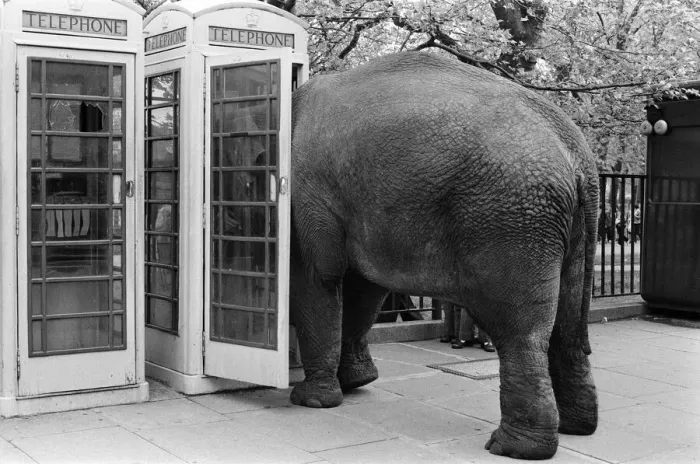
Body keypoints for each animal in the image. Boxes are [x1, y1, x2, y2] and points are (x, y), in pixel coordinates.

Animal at [287, 51, 599, 460]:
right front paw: (356, 382)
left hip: (511, 222)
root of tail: (576, 151)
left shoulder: (307, 190)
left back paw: (513, 448)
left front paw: (311, 400)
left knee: (521, 331)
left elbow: (317, 276)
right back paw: (577, 428)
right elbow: (363, 288)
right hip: (567, 227)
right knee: (569, 325)